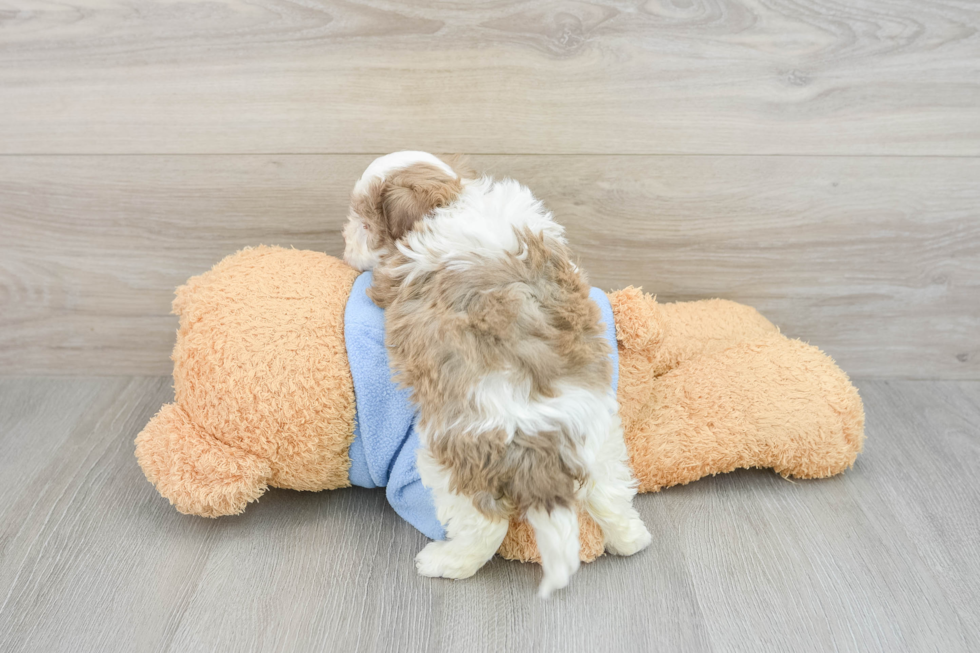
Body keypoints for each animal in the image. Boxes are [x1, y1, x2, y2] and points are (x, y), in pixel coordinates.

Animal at [342, 153, 652, 596]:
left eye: (365, 224)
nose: (345, 243)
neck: (453, 198)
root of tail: (543, 447)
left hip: (453, 460)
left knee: (484, 527)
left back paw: (441, 562)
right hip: (602, 438)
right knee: (610, 493)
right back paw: (631, 538)